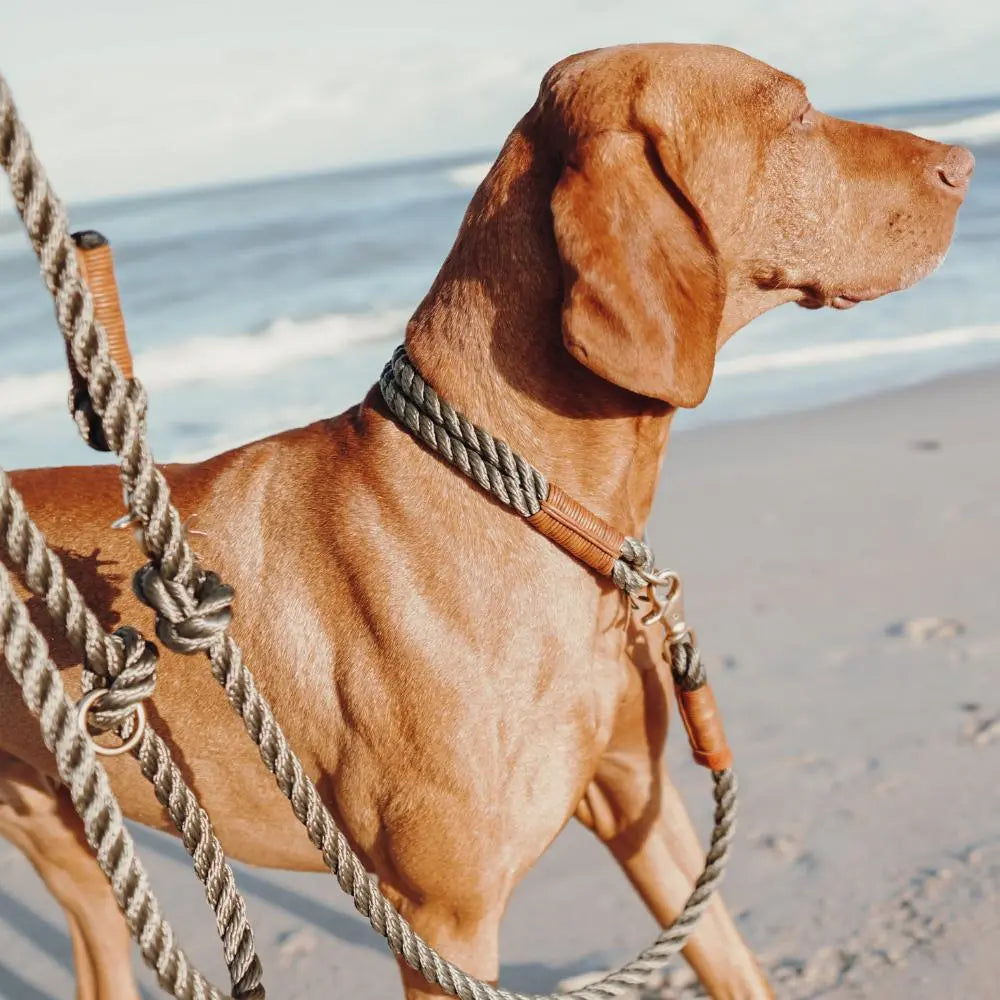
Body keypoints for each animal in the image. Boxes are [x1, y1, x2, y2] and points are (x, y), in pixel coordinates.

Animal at [0, 45, 968, 1000]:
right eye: (797, 111)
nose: (961, 163)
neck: (529, 513)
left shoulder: (641, 804)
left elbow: (732, 960)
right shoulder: (443, 924)